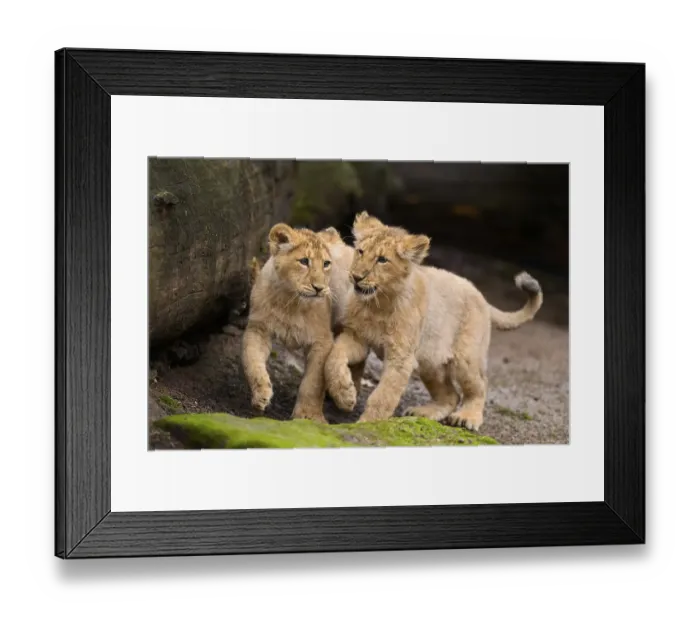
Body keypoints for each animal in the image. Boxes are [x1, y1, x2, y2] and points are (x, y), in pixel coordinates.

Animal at [241, 223, 355, 421]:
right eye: (304, 261)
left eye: (326, 264)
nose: (319, 288)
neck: (291, 303)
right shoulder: (258, 329)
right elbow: (252, 359)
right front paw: (261, 394)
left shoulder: (322, 341)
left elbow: (313, 382)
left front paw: (308, 416)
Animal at [324, 212, 543, 432]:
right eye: (360, 251)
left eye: (382, 260)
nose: (356, 276)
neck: (377, 305)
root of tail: (482, 297)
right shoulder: (357, 337)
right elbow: (334, 356)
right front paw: (345, 395)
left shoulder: (401, 358)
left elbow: (383, 396)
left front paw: (368, 424)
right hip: (430, 362)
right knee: (451, 396)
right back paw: (423, 412)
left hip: (465, 358)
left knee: (479, 386)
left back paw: (467, 417)